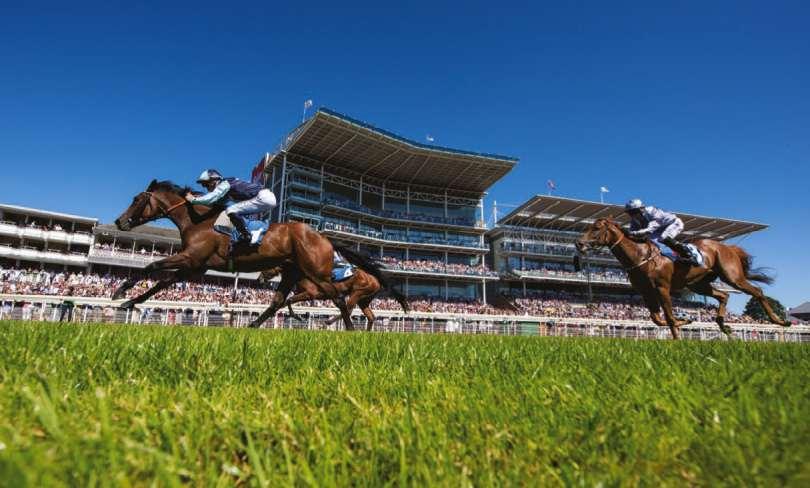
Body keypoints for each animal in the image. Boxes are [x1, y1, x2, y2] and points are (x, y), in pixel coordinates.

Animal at [112, 179, 361, 329]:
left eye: (137, 199)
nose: (119, 222)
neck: (198, 221)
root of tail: (323, 236)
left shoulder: (190, 258)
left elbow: (151, 266)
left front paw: (120, 291)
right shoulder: (195, 266)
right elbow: (162, 283)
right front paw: (130, 301)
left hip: (316, 273)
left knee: (339, 298)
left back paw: (350, 330)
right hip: (292, 271)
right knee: (277, 301)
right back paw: (252, 326)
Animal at [260, 245, 410, 331]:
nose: (260, 278)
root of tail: (375, 279)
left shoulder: (311, 293)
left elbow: (290, 300)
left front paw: (296, 316)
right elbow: (287, 301)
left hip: (357, 292)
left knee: (348, 309)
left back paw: (328, 322)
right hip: (364, 300)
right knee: (371, 316)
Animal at [575, 218, 789, 339]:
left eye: (596, 228)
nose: (578, 243)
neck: (639, 256)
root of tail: (727, 246)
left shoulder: (662, 288)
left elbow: (668, 317)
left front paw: (678, 337)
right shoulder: (646, 292)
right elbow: (656, 319)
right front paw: (685, 320)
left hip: (732, 276)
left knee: (757, 291)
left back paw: (780, 321)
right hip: (698, 284)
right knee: (724, 296)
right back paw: (724, 325)